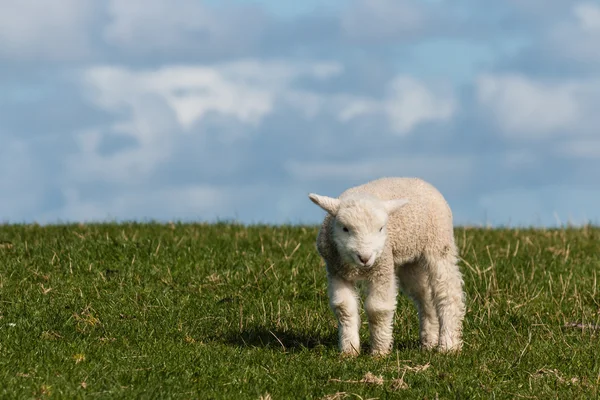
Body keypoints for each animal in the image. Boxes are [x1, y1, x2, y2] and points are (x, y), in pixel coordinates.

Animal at [310, 177, 468, 354]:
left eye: (380, 229)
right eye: (345, 229)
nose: (365, 258)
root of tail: (420, 181)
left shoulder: (382, 268)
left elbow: (377, 309)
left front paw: (380, 351)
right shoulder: (336, 271)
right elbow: (344, 307)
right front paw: (349, 350)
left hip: (439, 243)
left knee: (448, 291)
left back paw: (448, 345)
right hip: (410, 261)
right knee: (425, 295)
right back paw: (429, 342)